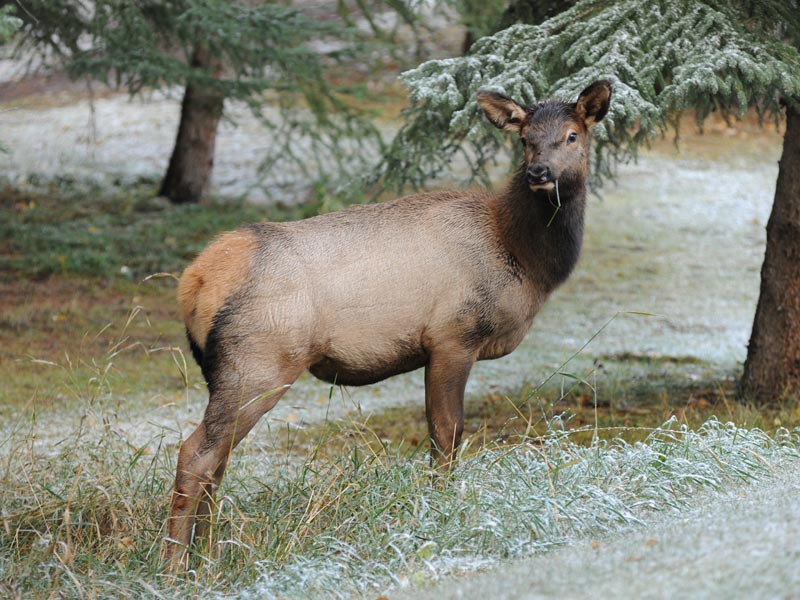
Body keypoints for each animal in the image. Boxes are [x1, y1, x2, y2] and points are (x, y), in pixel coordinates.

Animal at [165, 80, 612, 569]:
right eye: (526, 138)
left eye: (572, 135)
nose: (538, 172)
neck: (522, 257)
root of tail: (195, 280)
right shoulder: (453, 335)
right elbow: (446, 434)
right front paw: (443, 507)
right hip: (259, 362)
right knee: (197, 454)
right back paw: (175, 565)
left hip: (223, 370)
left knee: (219, 460)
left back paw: (206, 553)